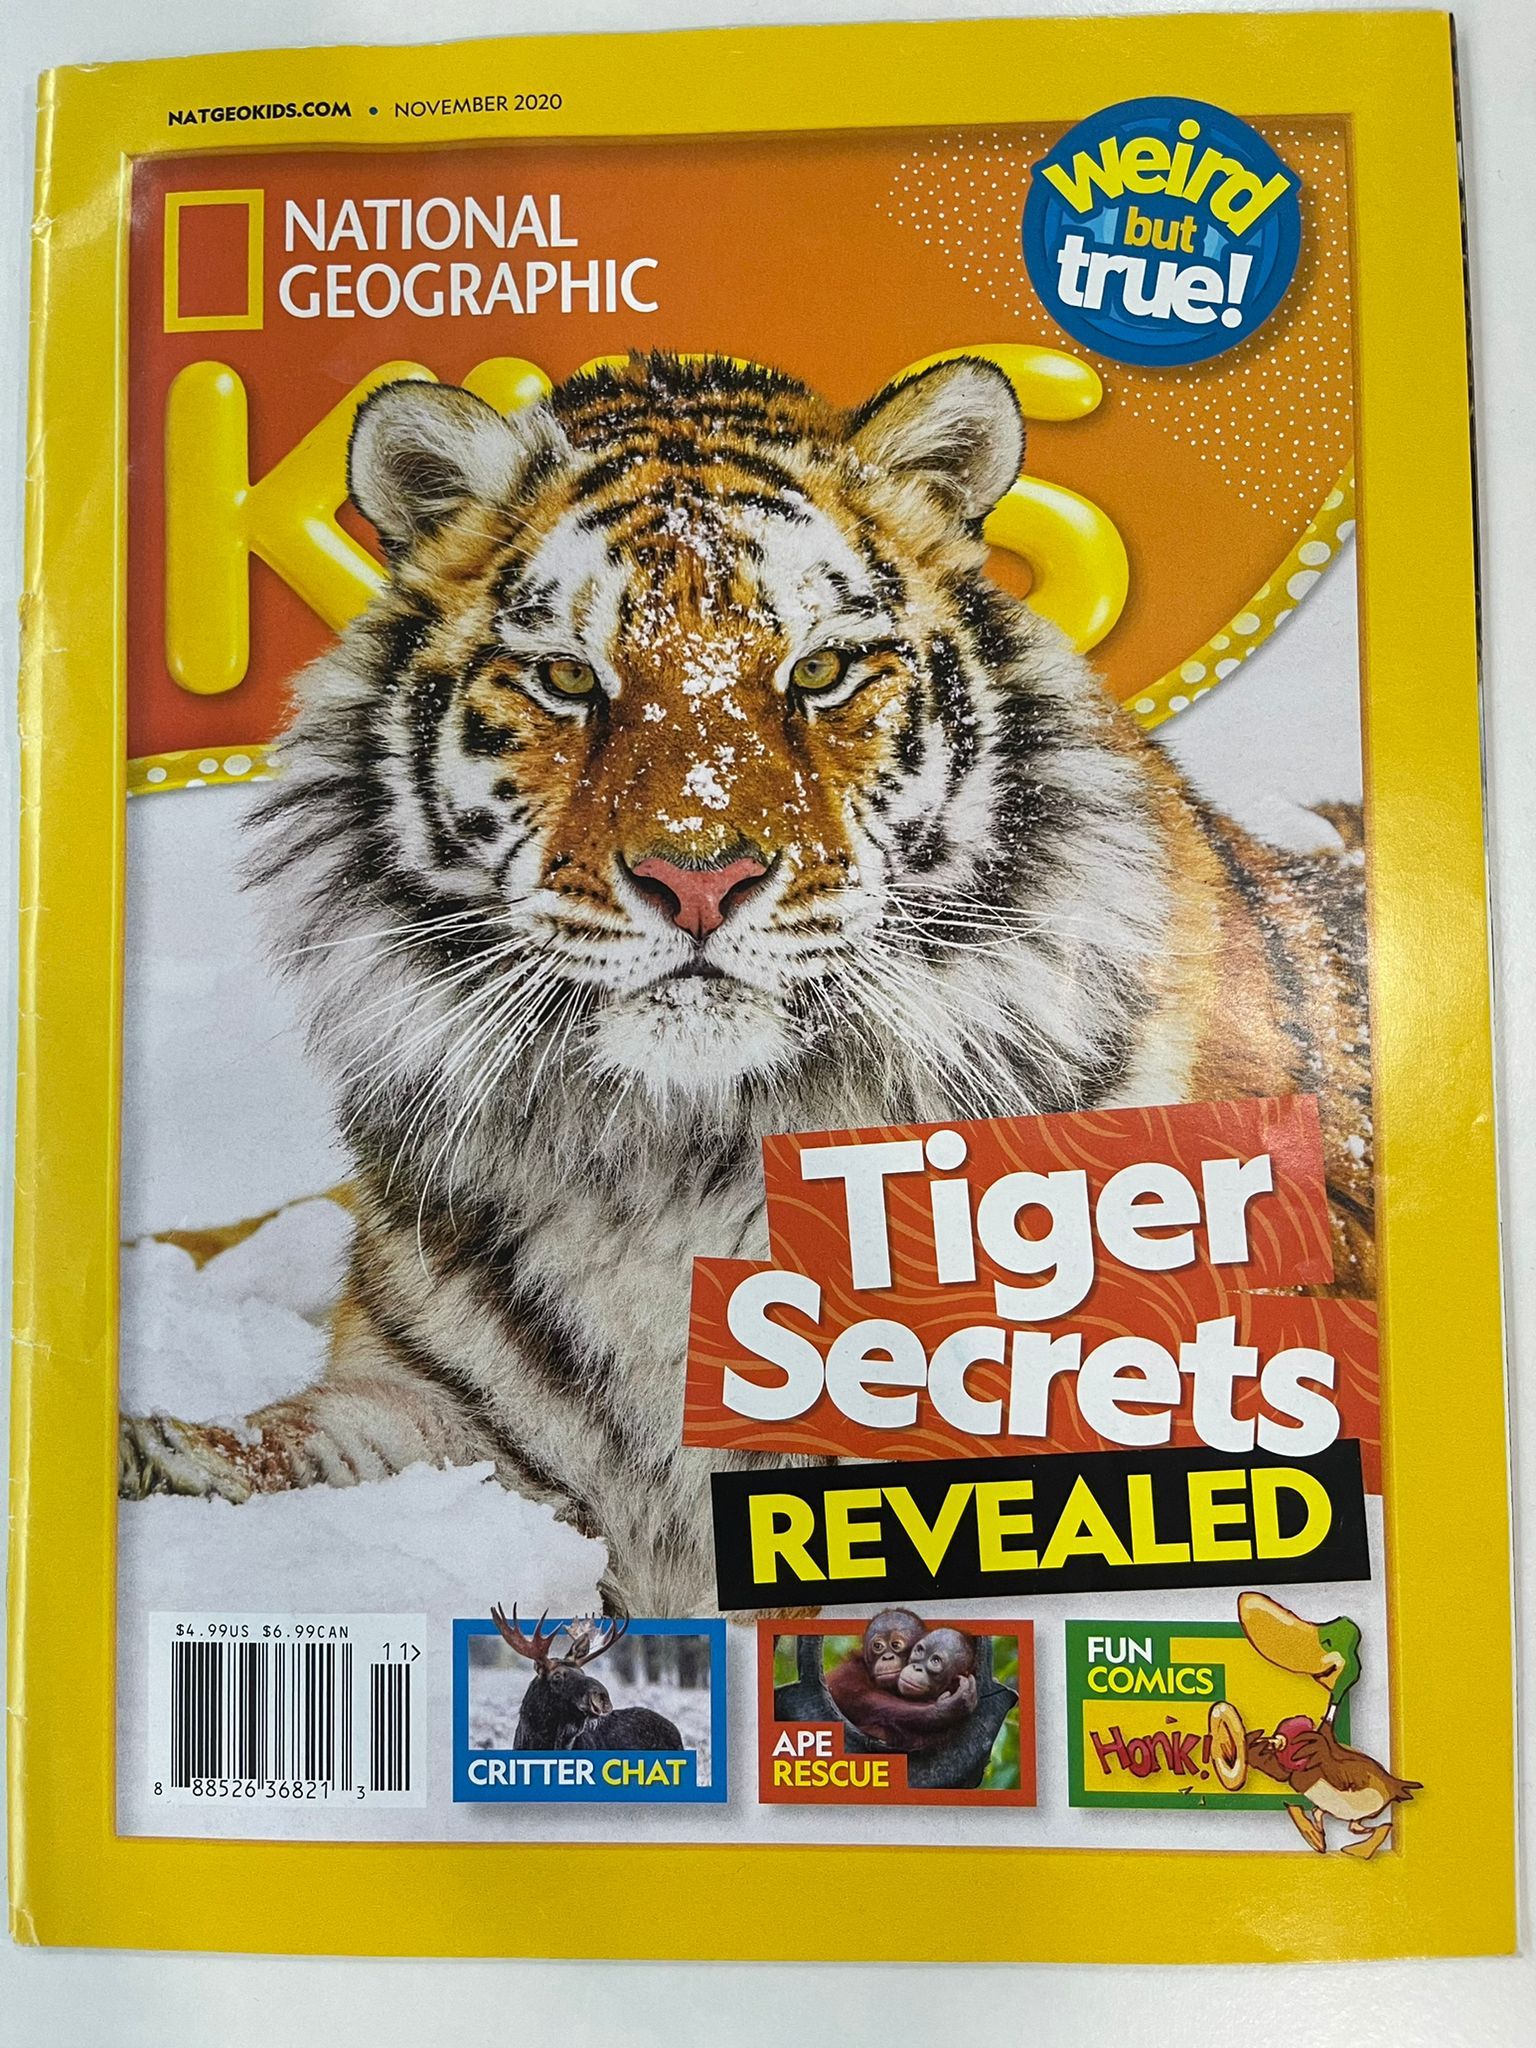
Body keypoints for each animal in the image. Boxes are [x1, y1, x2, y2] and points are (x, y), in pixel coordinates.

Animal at [118, 351, 1373, 1617]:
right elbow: (300, 1446)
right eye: (568, 677)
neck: (680, 1156)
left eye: (818, 670)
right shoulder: (430, 1406)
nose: (699, 877)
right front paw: (155, 1458)